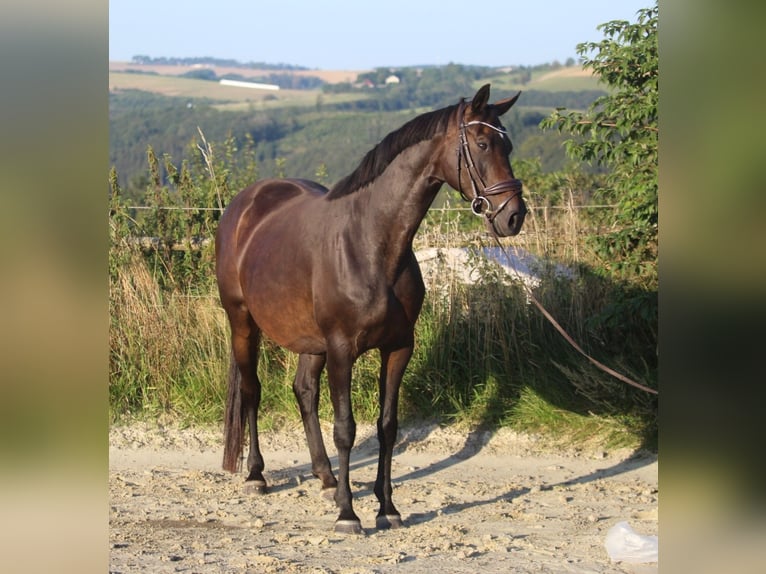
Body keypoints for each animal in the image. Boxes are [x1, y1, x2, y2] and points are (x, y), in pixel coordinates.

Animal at [214, 84, 528, 536]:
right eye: (483, 144)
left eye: (509, 145)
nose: (514, 216)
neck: (371, 242)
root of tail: (243, 206)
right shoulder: (342, 350)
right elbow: (346, 428)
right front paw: (348, 514)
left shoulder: (397, 348)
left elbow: (388, 427)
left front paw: (387, 507)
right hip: (243, 323)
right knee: (252, 391)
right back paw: (257, 475)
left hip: (312, 342)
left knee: (303, 392)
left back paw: (326, 478)